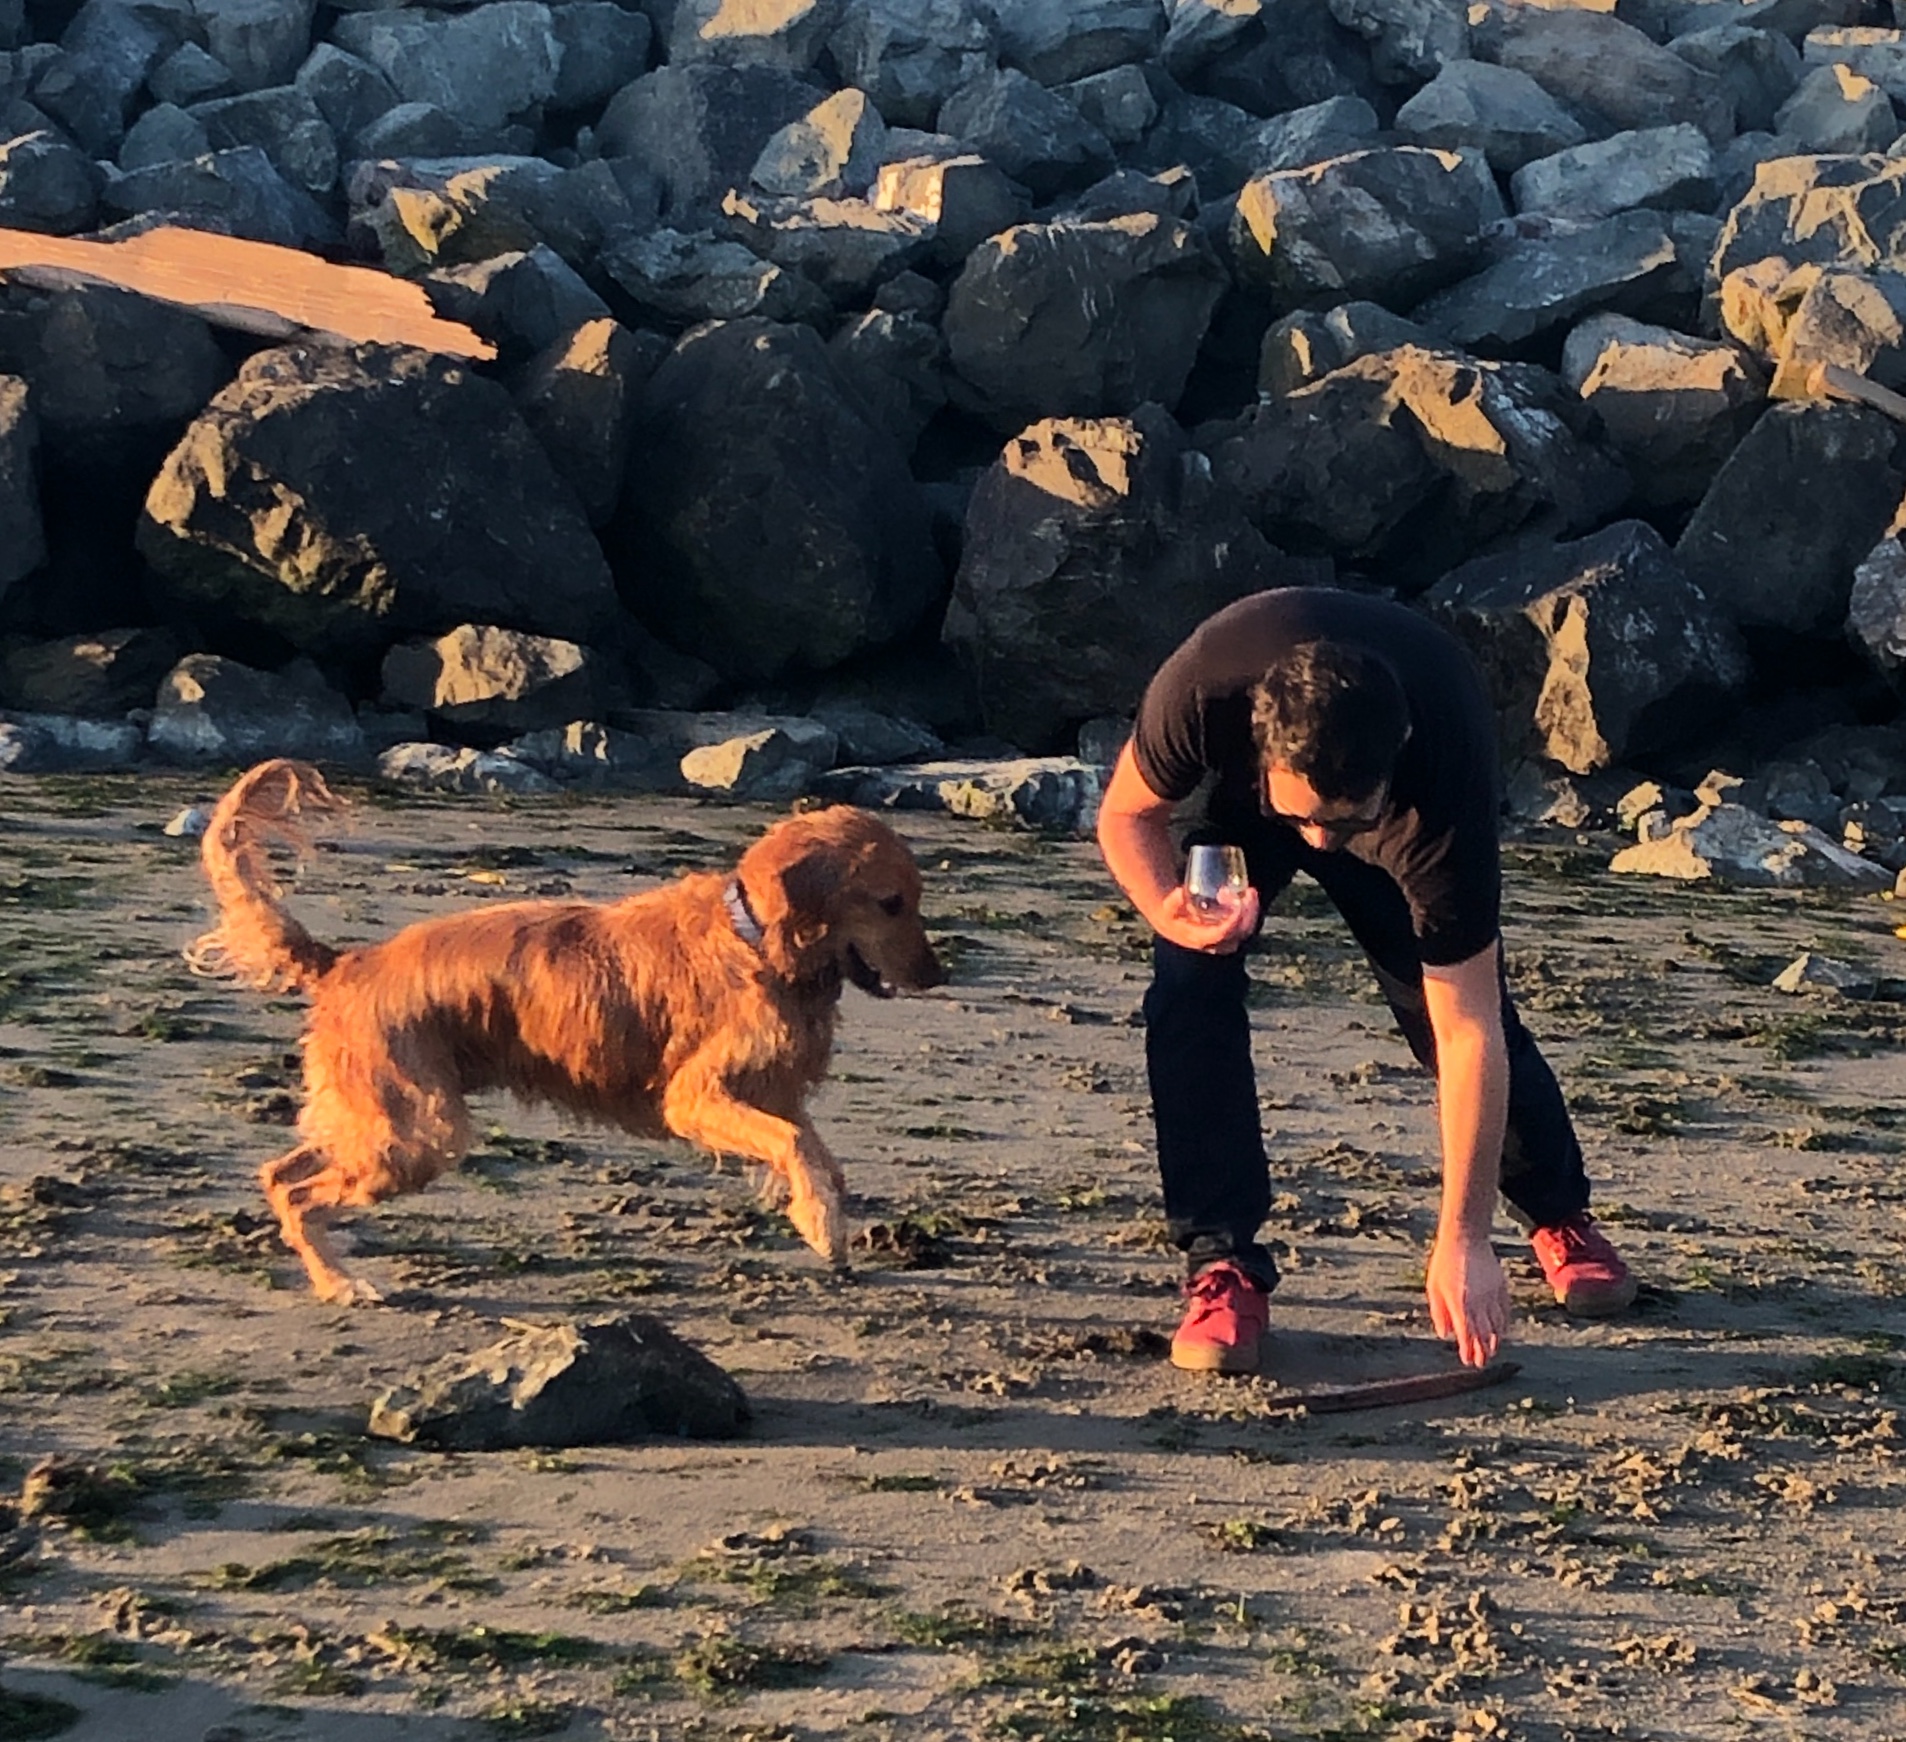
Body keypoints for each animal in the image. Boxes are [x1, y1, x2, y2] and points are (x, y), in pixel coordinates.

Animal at [187, 758, 945, 1304]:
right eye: (891, 903)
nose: (938, 976)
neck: (754, 939)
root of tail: (347, 962)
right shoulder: (694, 1098)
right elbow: (794, 1146)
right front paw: (820, 1223)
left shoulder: (770, 1093)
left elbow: (815, 1152)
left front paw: (822, 1219)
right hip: (418, 1130)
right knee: (298, 1189)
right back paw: (342, 1284)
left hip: (378, 1120)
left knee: (279, 1172)